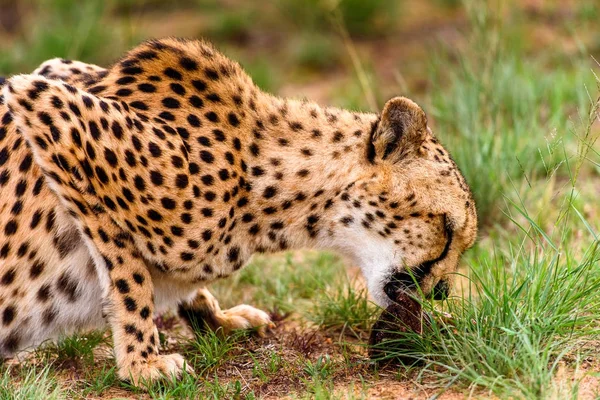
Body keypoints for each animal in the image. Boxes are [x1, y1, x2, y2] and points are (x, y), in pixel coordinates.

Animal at [1, 38, 478, 384]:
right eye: (446, 227)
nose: (440, 293)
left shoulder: (51, 72)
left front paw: (218, 318)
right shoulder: (43, 103)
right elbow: (128, 272)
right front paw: (142, 364)